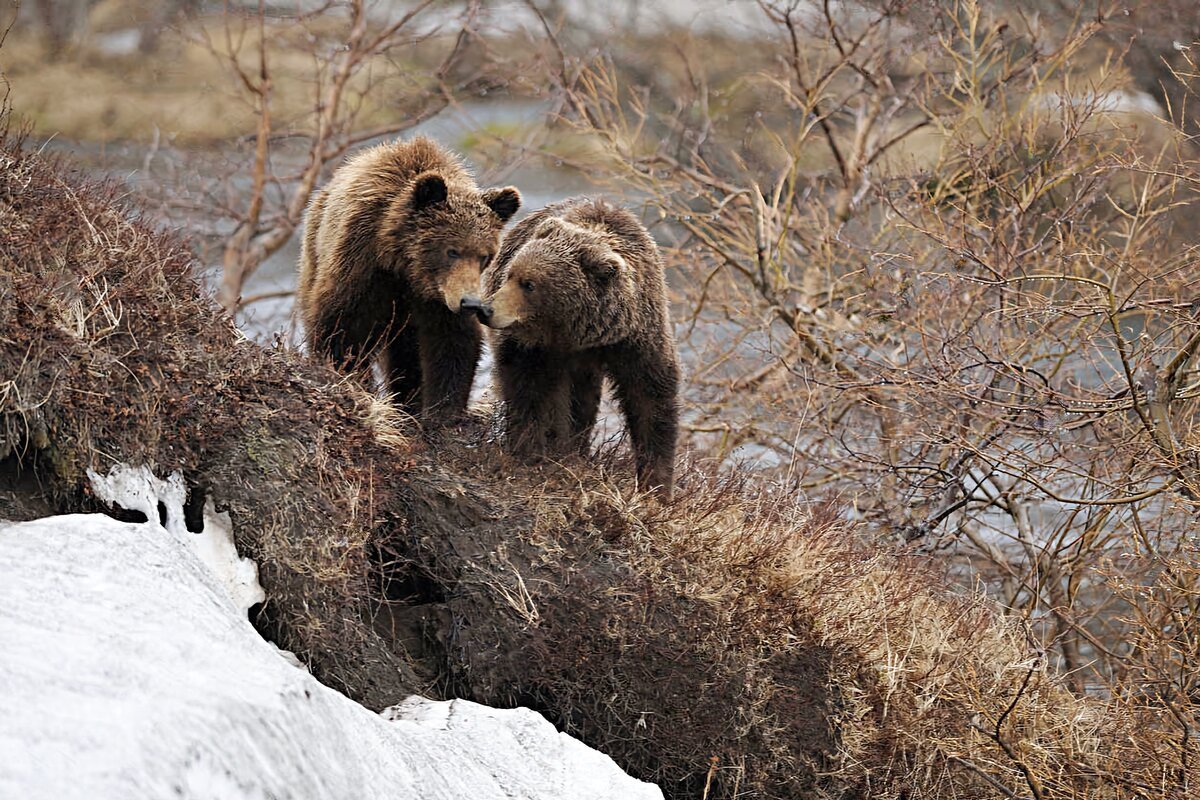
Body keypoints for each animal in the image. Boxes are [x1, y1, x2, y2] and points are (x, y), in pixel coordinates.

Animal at [297, 136, 518, 424]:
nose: (469, 302)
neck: (405, 266)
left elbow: (453, 341)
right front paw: (355, 383)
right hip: (314, 255)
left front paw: (443, 410)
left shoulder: (437, 298)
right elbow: (342, 328)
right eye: (452, 250)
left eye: (484, 256)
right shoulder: (363, 267)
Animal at [480, 196, 686, 496]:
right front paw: (530, 451)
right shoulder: (533, 347)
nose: (486, 310)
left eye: (529, 284)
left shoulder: (636, 339)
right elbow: (528, 390)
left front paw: (656, 486)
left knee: (584, 400)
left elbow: (651, 397)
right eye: (511, 274)